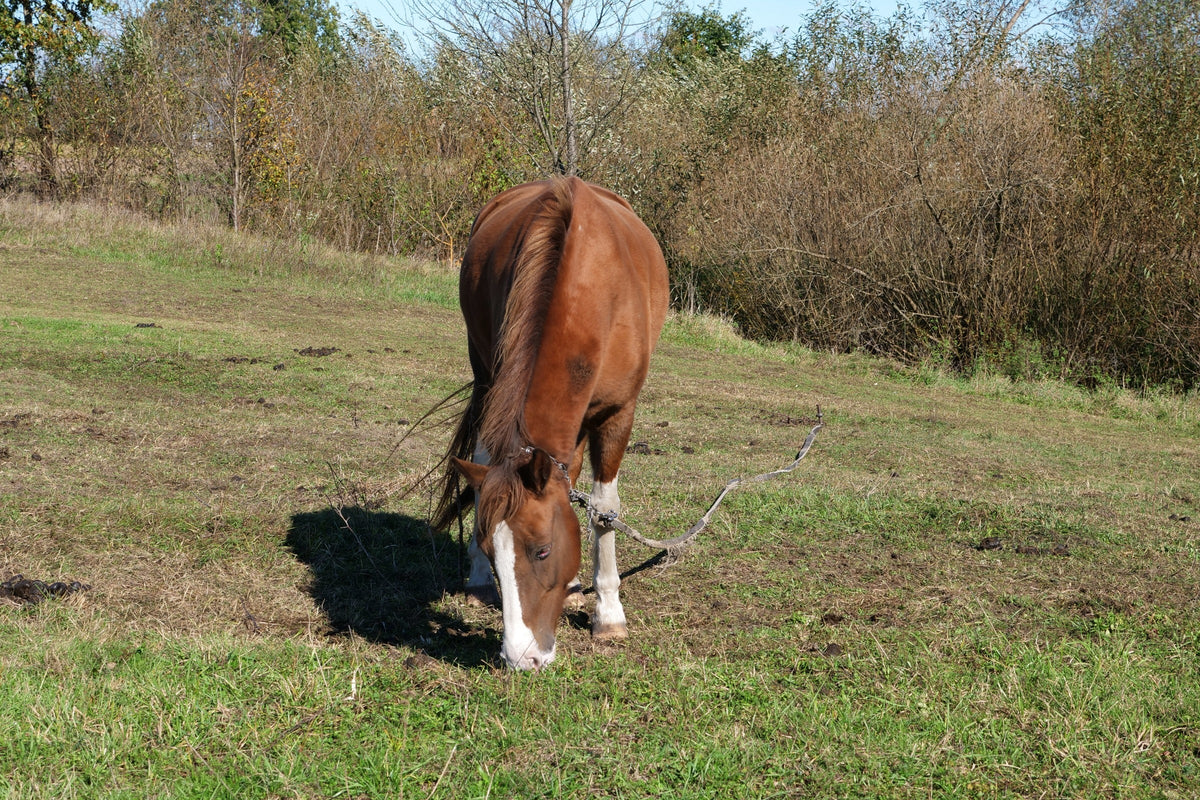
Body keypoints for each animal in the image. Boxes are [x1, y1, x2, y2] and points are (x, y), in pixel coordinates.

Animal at [432, 176, 669, 670]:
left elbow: (603, 509)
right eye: (490, 547)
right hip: (486, 378)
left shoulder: (619, 413)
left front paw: (608, 614)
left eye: (542, 550)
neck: (588, 287)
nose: (521, 658)